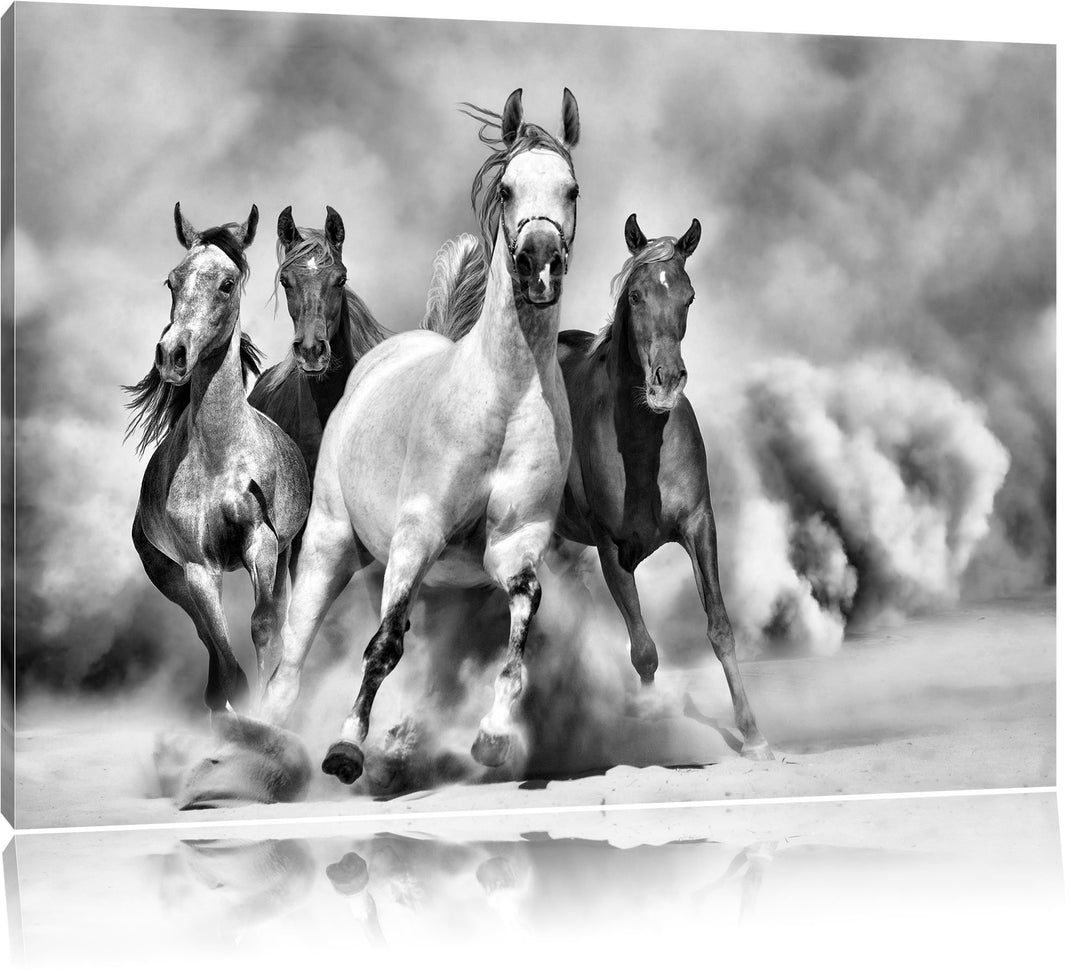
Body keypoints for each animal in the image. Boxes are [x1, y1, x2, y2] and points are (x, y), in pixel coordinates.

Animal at [125, 204, 311, 788]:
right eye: (172, 281)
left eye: (227, 284)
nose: (172, 354)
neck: (221, 458)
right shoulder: (197, 567)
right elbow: (227, 661)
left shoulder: (263, 547)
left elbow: (265, 628)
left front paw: (273, 723)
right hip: (167, 575)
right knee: (207, 640)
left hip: (287, 556)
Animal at [259, 87, 582, 786]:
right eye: (508, 188)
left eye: (570, 189)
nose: (539, 264)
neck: (502, 399)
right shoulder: (418, 532)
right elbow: (383, 644)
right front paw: (346, 749)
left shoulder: (512, 546)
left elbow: (520, 628)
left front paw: (493, 736)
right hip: (329, 545)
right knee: (290, 660)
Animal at [553, 214, 772, 760]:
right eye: (635, 296)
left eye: (688, 297)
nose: (666, 380)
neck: (640, 445)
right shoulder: (611, 549)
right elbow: (645, 651)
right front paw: (654, 728)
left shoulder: (699, 525)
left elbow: (719, 628)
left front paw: (753, 735)